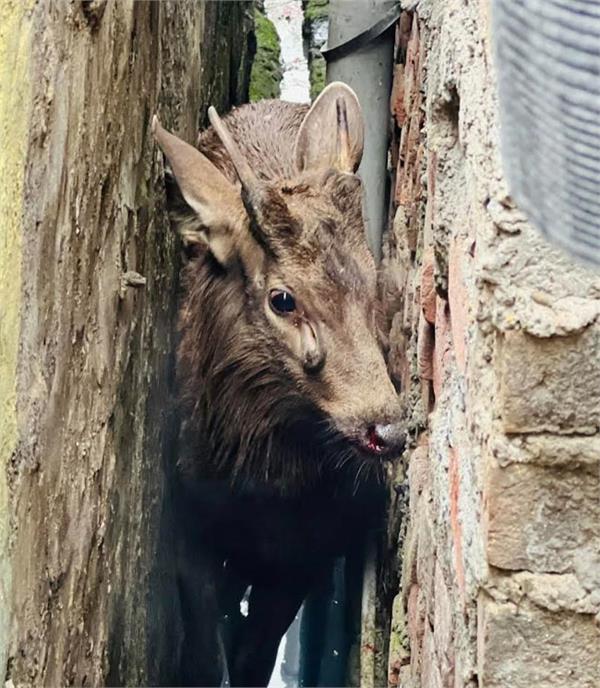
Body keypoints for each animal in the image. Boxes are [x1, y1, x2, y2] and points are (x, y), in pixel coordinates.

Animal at [152, 82, 405, 687]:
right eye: (283, 298)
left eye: (374, 281)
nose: (387, 429)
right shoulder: (188, 521)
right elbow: (205, 655)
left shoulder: (310, 550)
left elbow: (255, 656)